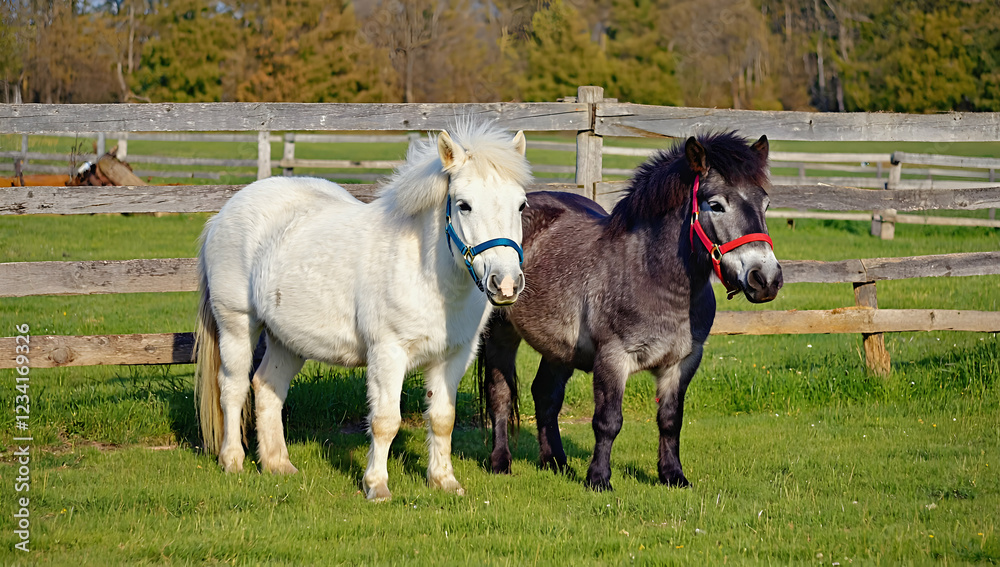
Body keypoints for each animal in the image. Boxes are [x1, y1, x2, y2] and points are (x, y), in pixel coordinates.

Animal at [194, 119, 532, 501]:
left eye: (521, 205)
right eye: (464, 205)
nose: (506, 284)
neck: (429, 275)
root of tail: (223, 214)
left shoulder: (453, 357)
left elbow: (442, 419)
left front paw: (444, 481)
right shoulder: (388, 353)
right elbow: (385, 422)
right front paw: (377, 485)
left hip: (288, 340)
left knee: (267, 388)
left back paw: (278, 464)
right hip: (237, 325)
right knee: (233, 388)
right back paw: (233, 460)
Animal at [479, 131, 782, 490]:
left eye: (765, 204)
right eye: (717, 205)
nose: (765, 279)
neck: (654, 278)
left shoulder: (683, 362)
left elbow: (670, 420)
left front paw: (673, 475)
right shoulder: (612, 359)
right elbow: (608, 421)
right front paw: (598, 479)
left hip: (558, 348)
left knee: (545, 395)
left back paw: (556, 462)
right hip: (501, 332)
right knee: (500, 394)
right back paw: (501, 462)